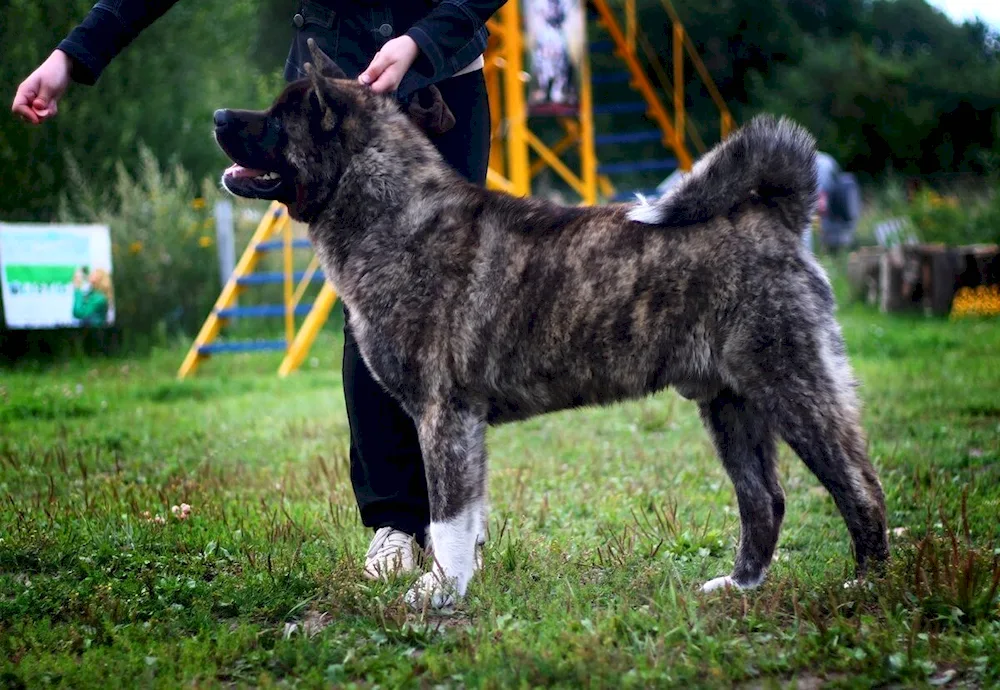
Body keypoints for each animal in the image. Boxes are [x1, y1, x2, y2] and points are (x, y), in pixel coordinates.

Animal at [215, 40, 888, 604]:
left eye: (276, 120)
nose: (220, 115)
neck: (396, 217)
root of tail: (777, 217)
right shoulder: (461, 423)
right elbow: (468, 517)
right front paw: (457, 584)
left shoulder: (443, 414)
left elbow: (447, 516)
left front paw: (440, 594)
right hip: (729, 406)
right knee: (764, 501)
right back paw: (738, 586)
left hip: (793, 388)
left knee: (859, 485)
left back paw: (866, 584)